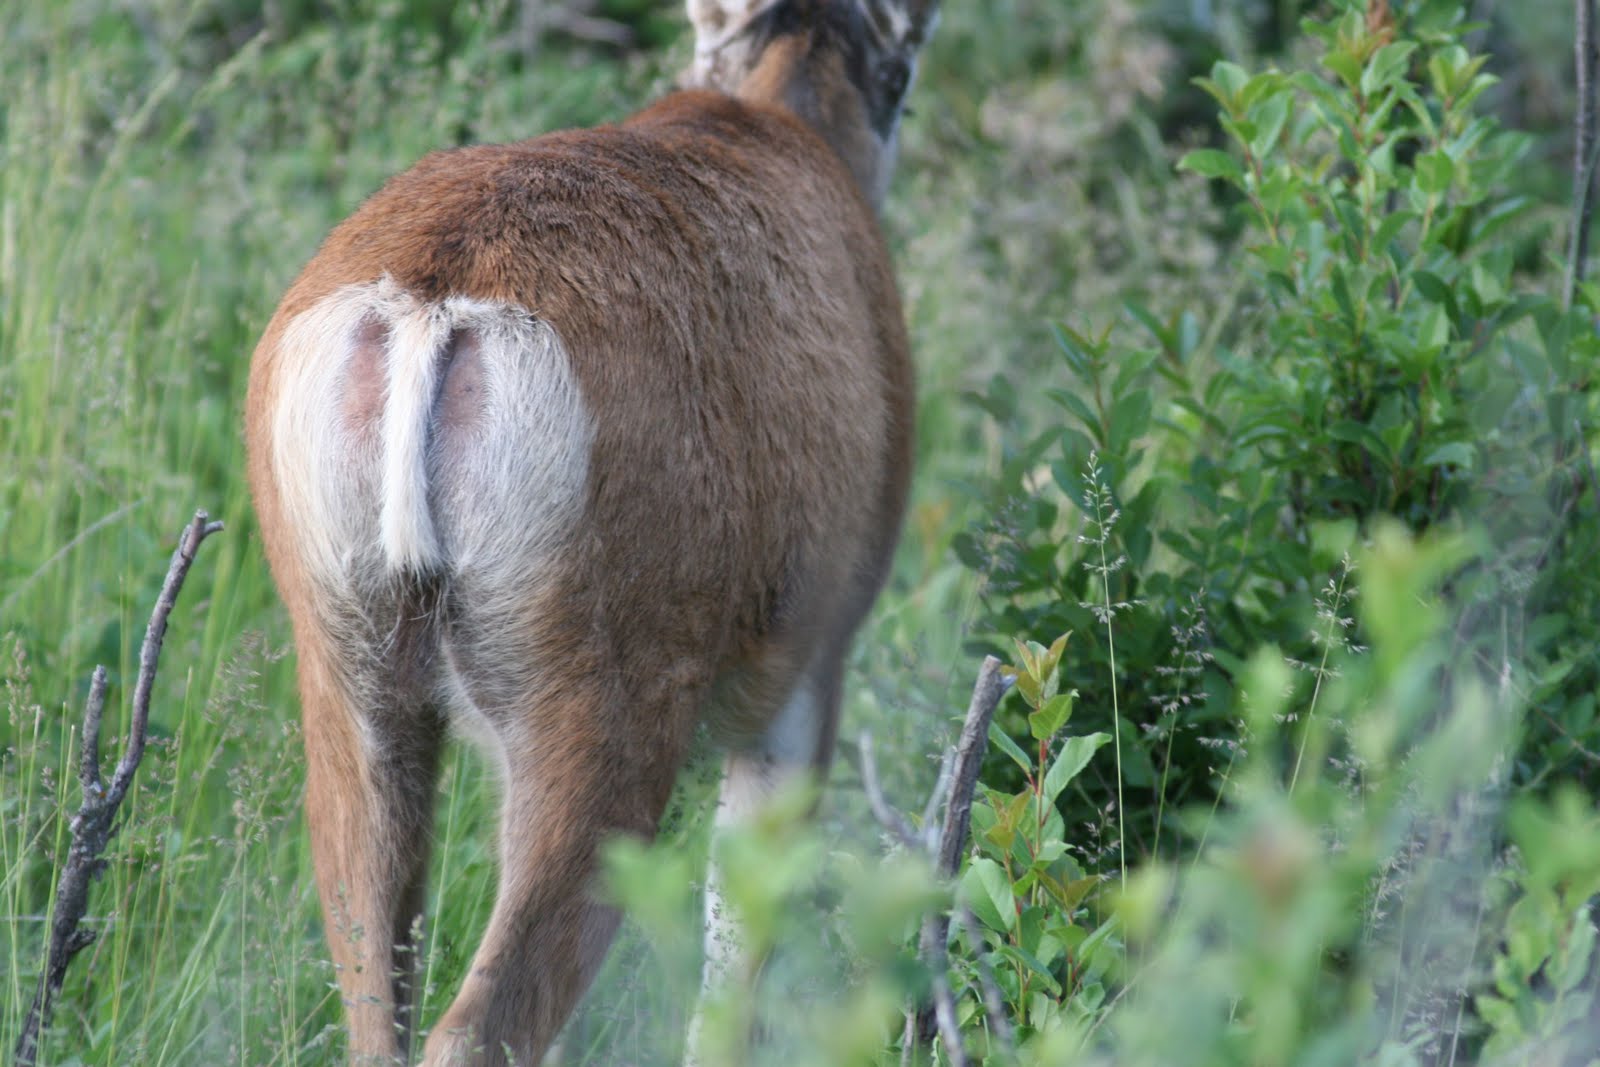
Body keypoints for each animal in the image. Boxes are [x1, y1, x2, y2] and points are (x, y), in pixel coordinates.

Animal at [240, 0, 934, 1062]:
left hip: (345, 655)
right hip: (607, 680)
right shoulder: (815, 647)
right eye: (903, 79)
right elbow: (736, 965)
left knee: (377, 1004)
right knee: (484, 1025)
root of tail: (436, 303)